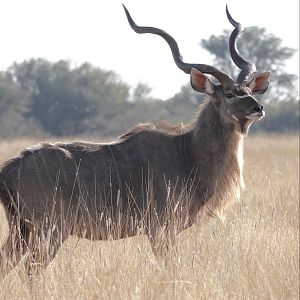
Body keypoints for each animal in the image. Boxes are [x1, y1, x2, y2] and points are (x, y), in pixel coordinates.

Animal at [0, 5, 268, 272]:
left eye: (249, 91)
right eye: (230, 94)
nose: (259, 108)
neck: (187, 152)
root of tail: (10, 169)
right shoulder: (161, 230)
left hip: (22, 230)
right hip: (49, 231)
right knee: (31, 269)